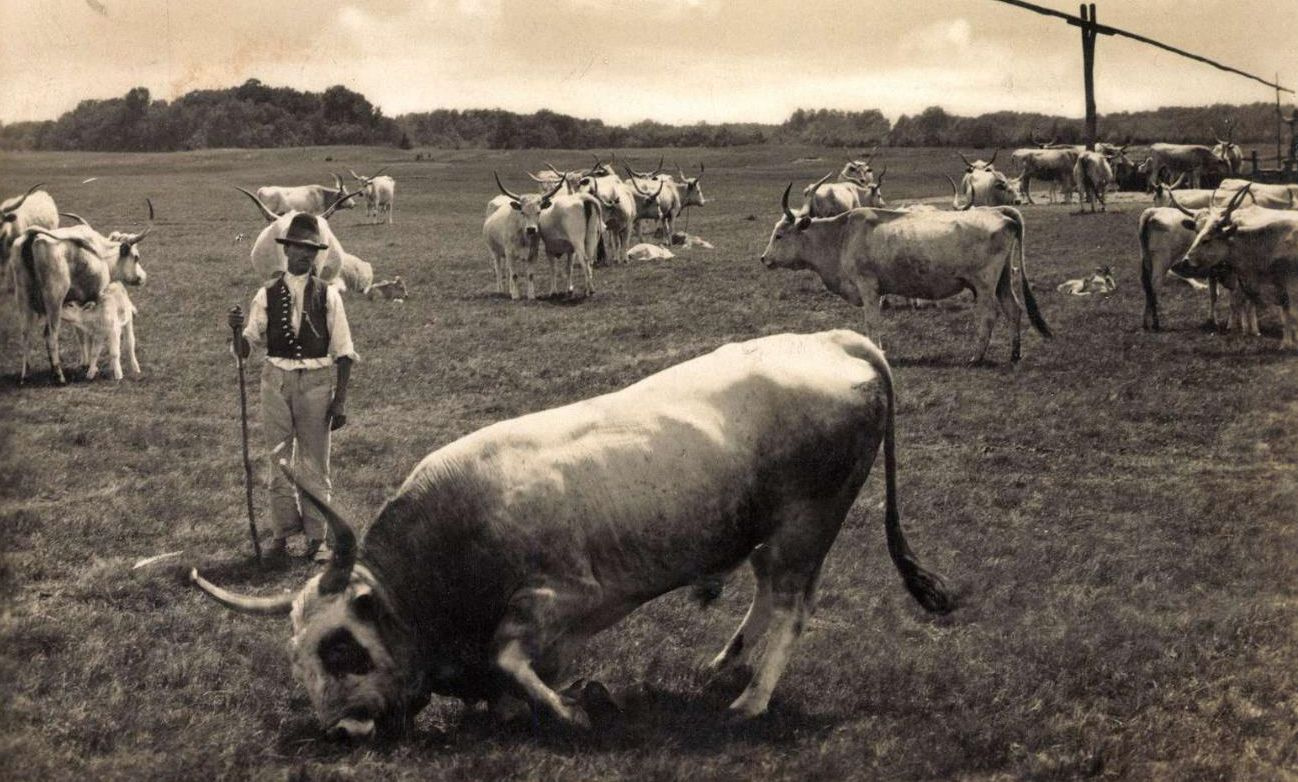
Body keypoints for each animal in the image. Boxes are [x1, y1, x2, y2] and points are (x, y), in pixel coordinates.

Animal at [758, 185, 1053, 361]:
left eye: (780, 235)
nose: (764, 258)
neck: (840, 236)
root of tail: (999, 212)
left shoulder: (868, 286)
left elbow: (872, 322)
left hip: (984, 284)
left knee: (990, 315)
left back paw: (976, 357)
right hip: (1002, 280)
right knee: (1013, 309)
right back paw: (1014, 354)